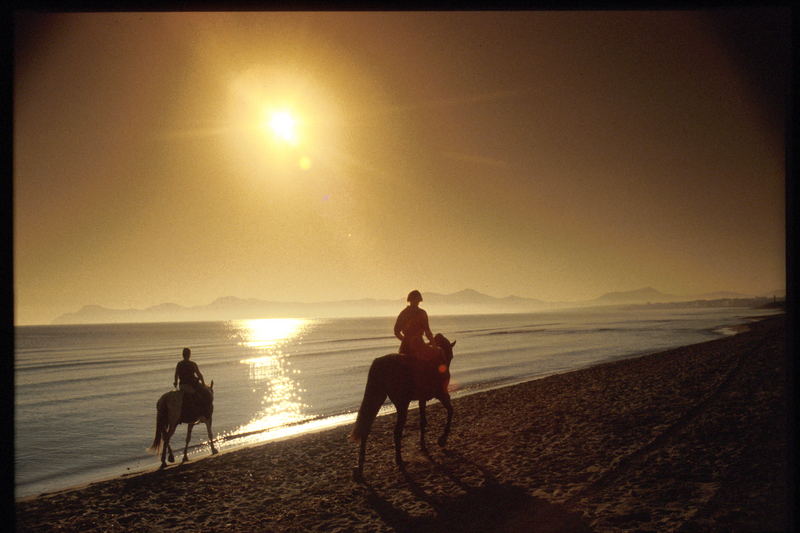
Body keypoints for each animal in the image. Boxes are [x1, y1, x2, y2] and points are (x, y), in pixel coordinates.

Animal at [350, 332, 456, 478]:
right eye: (451, 355)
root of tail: (380, 363)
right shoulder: (441, 394)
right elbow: (450, 411)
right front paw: (442, 439)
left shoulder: (422, 399)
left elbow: (423, 421)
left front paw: (423, 445)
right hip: (402, 404)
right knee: (397, 431)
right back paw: (399, 459)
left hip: (377, 397)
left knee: (366, 427)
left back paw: (360, 468)